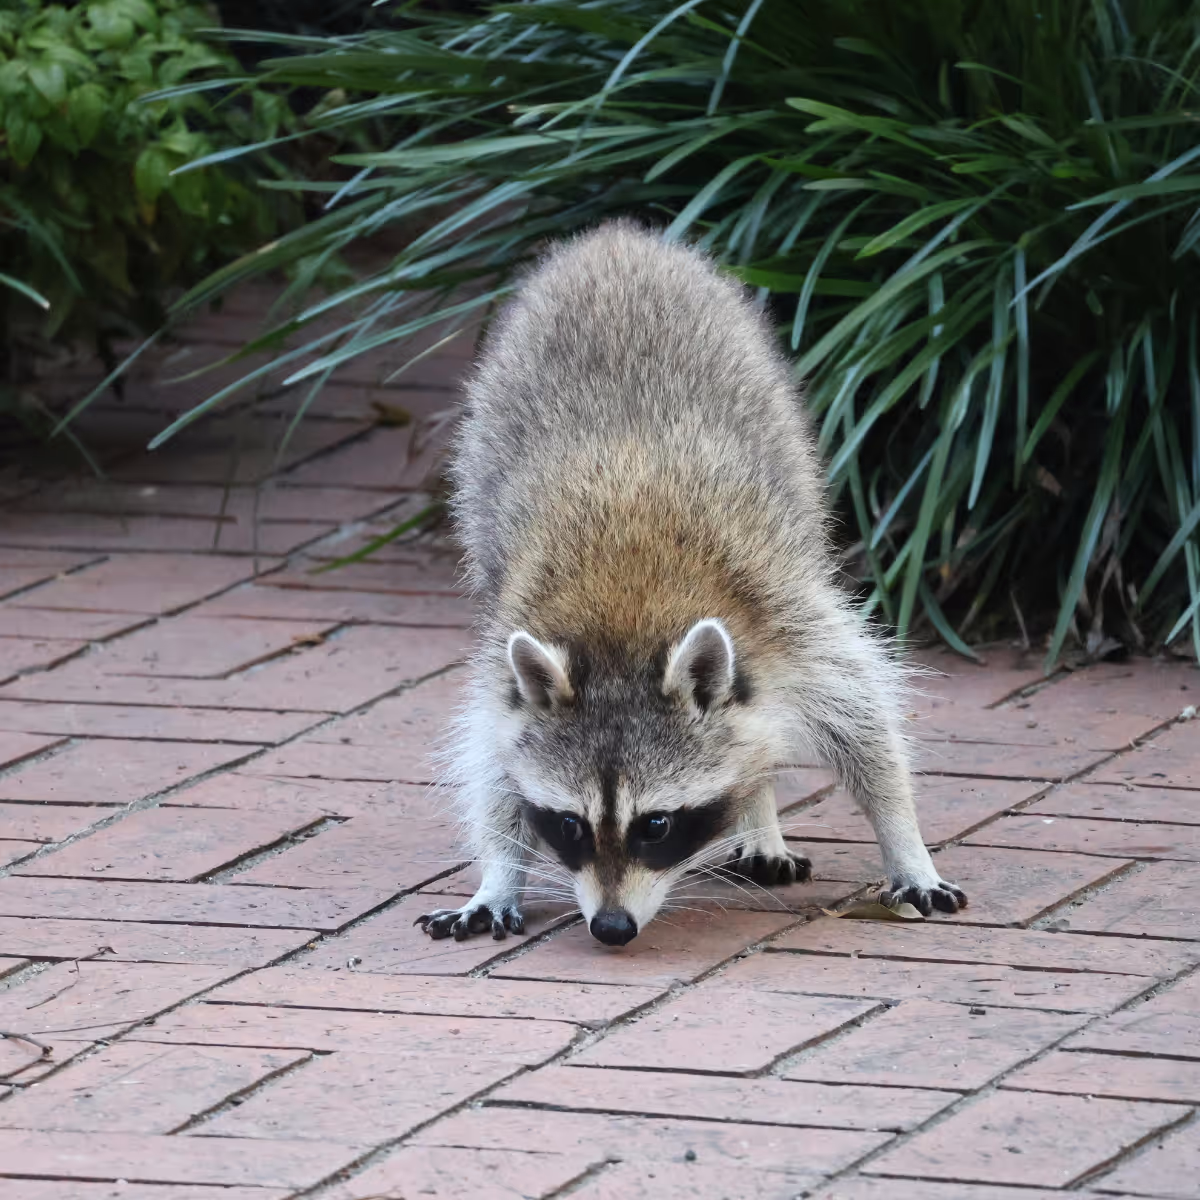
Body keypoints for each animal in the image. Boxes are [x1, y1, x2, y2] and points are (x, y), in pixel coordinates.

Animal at [417, 221, 966, 947]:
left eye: (656, 826)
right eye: (569, 825)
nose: (611, 928)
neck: (621, 624)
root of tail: (615, 239)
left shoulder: (789, 616)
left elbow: (866, 725)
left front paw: (904, 841)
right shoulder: (506, 647)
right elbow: (492, 761)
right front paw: (500, 870)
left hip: (781, 423)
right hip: (479, 452)